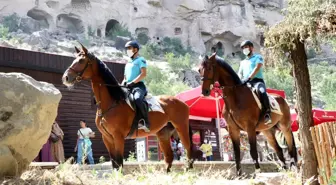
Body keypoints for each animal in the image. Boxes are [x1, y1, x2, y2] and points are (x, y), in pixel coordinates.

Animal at [62, 44, 194, 172]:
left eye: (81, 61)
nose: (65, 78)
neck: (111, 103)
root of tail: (181, 102)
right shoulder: (107, 138)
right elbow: (114, 164)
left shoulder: (118, 136)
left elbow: (119, 162)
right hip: (163, 134)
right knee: (169, 156)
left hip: (181, 127)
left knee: (188, 150)